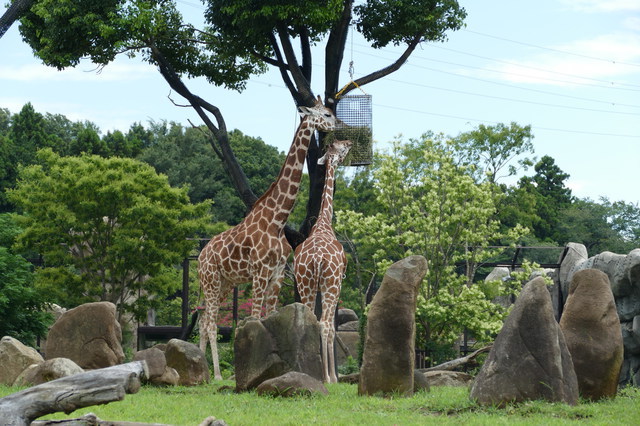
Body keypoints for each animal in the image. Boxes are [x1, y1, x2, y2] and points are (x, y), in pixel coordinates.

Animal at [199, 96, 340, 380]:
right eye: (326, 114)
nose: (339, 125)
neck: (277, 220)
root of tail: (199, 256)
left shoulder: (275, 275)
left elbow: (272, 320)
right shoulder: (260, 272)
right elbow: (254, 319)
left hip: (224, 283)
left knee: (202, 321)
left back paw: (203, 371)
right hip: (210, 281)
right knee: (209, 323)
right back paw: (216, 375)